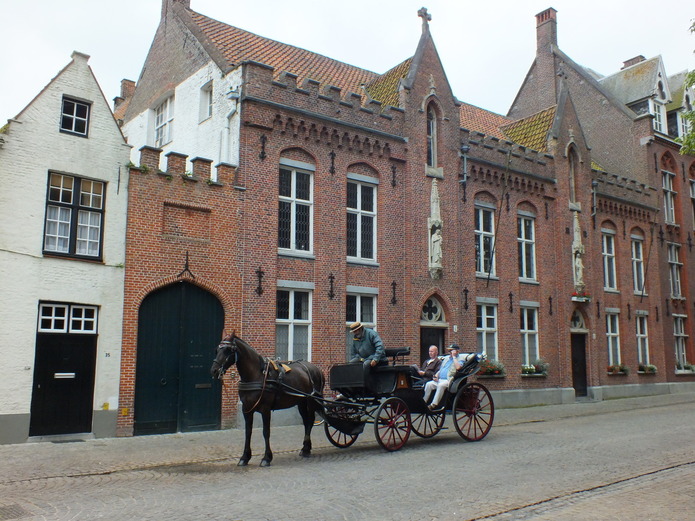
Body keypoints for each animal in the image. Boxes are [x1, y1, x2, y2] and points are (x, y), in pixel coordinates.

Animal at [209, 334, 326, 468]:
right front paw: (245, 457)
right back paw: (305, 449)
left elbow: (266, 432)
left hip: (311, 401)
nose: (214, 370)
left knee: (310, 421)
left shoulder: (265, 409)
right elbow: (248, 432)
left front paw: (266, 458)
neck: (255, 375)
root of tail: (317, 369)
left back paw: (306, 450)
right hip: (301, 402)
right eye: (217, 350)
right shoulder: (246, 409)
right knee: (307, 422)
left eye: (228, 350)